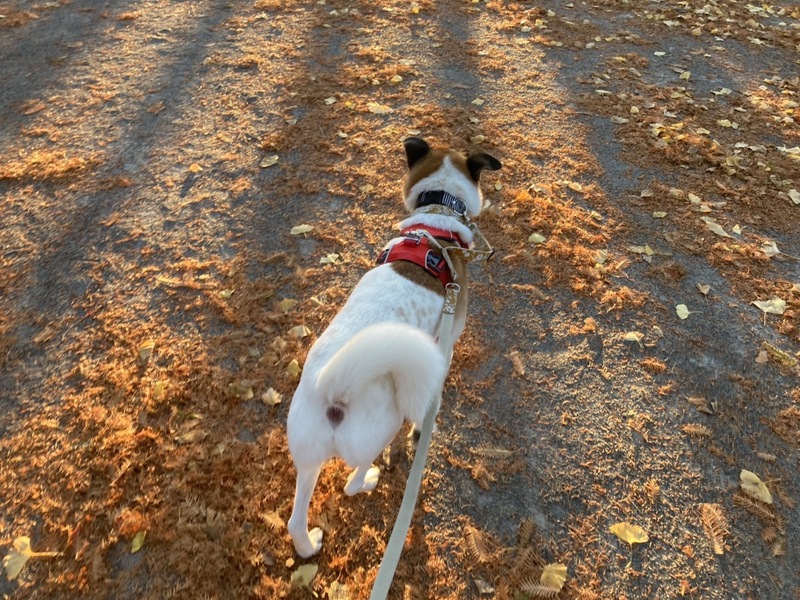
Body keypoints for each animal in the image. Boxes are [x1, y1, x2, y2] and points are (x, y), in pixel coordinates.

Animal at [286, 137, 501, 558]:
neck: (435, 220)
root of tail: (335, 388)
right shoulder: (445, 346)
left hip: (307, 455)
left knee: (295, 519)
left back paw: (308, 543)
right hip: (382, 429)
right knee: (351, 482)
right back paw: (369, 478)